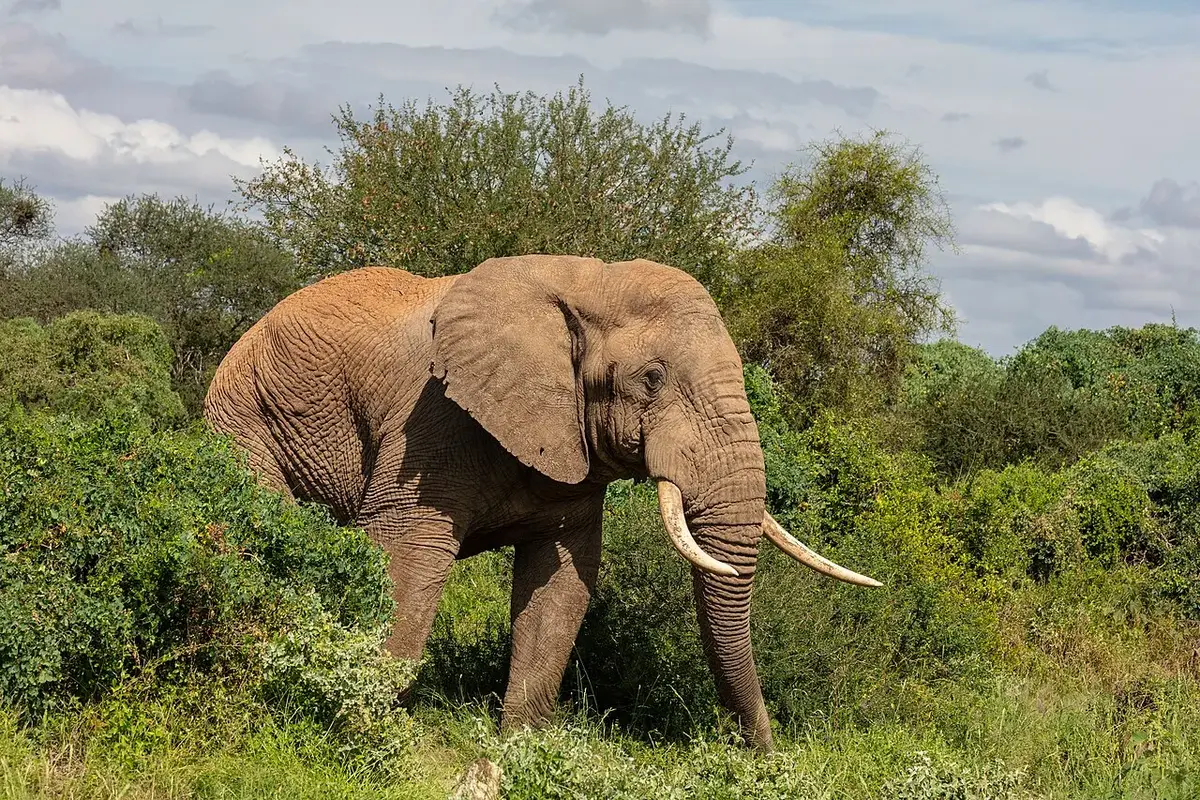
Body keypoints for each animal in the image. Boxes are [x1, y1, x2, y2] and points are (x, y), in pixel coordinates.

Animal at [203, 254, 881, 751]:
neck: (586, 284)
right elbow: (409, 558)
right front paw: (367, 726)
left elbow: (562, 582)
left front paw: (521, 748)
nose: (764, 754)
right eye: (652, 379)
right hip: (245, 416)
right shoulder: (431, 422)